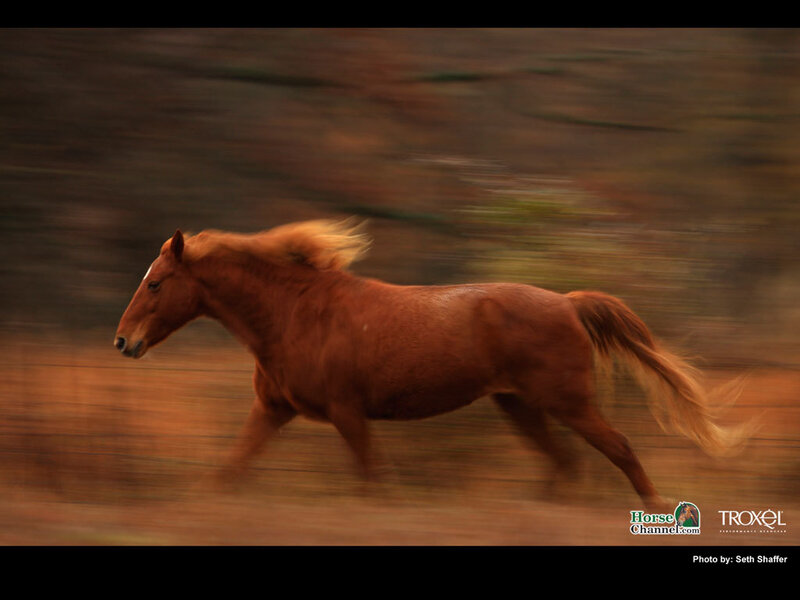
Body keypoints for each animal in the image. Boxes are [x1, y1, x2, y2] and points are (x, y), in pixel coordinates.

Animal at [114, 218, 747, 512]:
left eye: (157, 283)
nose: (123, 342)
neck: (294, 313)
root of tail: (568, 302)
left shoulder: (347, 413)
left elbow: (374, 481)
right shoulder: (273, 410)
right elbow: (230, 469)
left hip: (567, 403)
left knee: (618, 449)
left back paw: (658, 509)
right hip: (521, 407)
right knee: (565, 464)